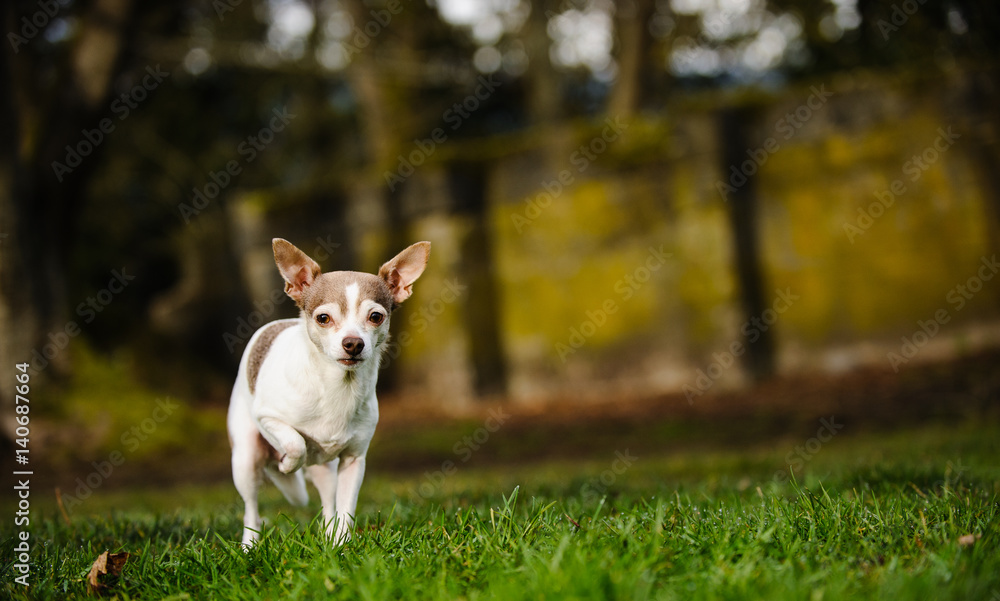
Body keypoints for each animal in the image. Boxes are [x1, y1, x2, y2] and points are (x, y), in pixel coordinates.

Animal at [227, 237, 430, 548]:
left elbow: (346, 508)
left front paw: (342, 545)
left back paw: (328, 534)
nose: (353, 343)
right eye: (323, 318)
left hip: (327, 471)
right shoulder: (267, 417)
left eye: (376, 316)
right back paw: (249, 546)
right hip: (246, 459)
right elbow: (295, 444)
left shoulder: (353, 461)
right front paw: (288, 463)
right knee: (252, 510)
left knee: (328, 504)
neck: (338, 387)